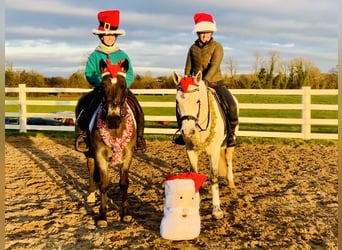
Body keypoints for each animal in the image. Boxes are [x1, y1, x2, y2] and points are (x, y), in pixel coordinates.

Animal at [75, 58, 137, 227]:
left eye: (123, 86)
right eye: (103, 87)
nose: (113, 118)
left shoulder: (127, 156)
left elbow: (124, 184)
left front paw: (126, 214)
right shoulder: (100, 155)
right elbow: (103, 184)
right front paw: (102, 216)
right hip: (89, 153)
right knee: (92, 171)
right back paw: (91, 194)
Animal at [172, 71, 239, 219]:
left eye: (197, 100)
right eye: (177, 101)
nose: (187, 131)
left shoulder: (213, 152)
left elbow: (214, 177)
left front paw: (217, 210)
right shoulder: (190, 150)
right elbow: (194, 176)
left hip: (230, 144)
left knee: (229, 160)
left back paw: (231, 182)